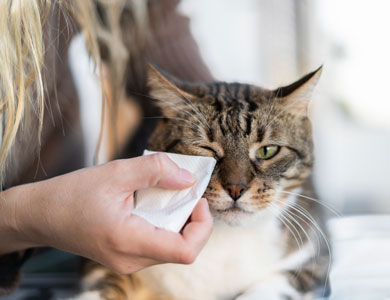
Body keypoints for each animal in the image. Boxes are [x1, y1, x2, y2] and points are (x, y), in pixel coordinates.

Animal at [76, 65, 330, 300]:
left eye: (267, 150)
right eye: (206, 149)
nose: (236, 188)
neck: (224, 239)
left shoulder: (313, 262)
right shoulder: (99, 263)